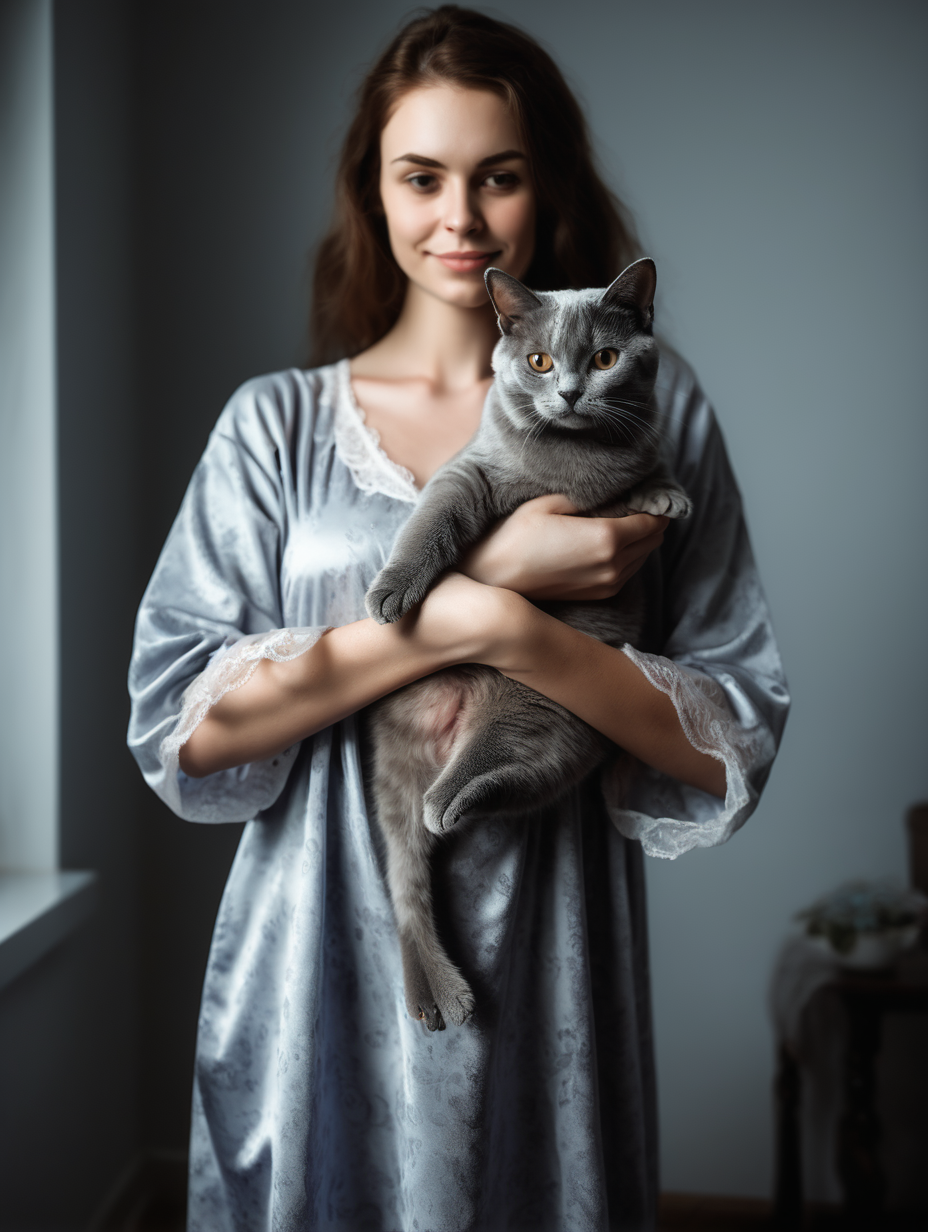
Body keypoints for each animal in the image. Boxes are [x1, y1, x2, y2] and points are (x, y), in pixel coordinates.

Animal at [362, 257, 690, 1029]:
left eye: (604, 359)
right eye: (539, 362)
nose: (568, 391)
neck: (571, 462)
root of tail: (450, 723)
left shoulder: (619, 471)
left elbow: (636, 478)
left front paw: (667, 494)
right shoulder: (469, 472)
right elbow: (434, 521)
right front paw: (392, 593)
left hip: (552, 717)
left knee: (507, 776)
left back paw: (451, 803)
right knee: (411, 875)